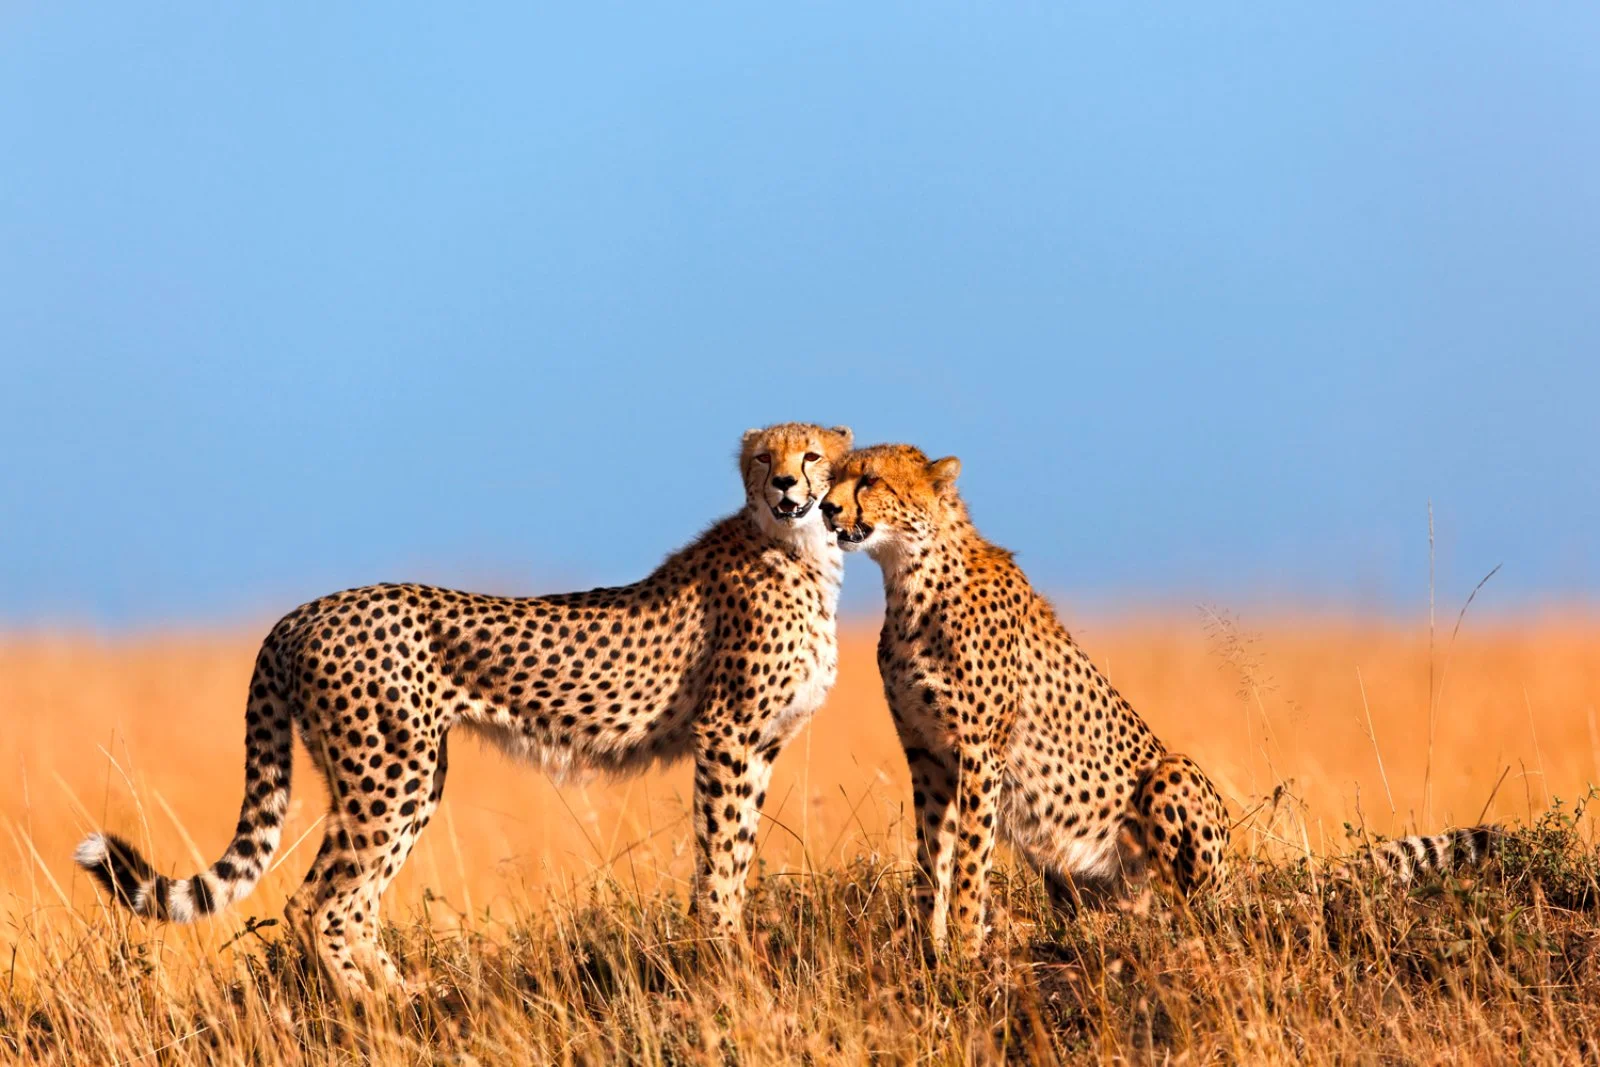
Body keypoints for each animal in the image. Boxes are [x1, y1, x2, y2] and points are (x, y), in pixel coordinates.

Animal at [75, 422, 857, 991]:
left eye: (812, 454)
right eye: (764, 457)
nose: (785, 482)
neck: (800, 549)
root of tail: (304, 611)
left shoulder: (757, 746)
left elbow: (738, 850)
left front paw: (726, 948)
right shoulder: (726, 736)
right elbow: (721, 857)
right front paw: (725, 958)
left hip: (395, 778)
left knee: (348, 899)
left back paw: (406, 993)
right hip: (391, 774)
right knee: (322, 902)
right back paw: (375, 1010)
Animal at [819, 441, 1228, 953]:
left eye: (870, 479)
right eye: (834, 478)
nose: (825, 508)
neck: (912, 578)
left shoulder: (978, 753)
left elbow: (971, 859)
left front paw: (965, 947)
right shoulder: (926, 755)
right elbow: (932, 858)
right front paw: (929, 948)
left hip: (1173, 776)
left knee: (1181, 907)